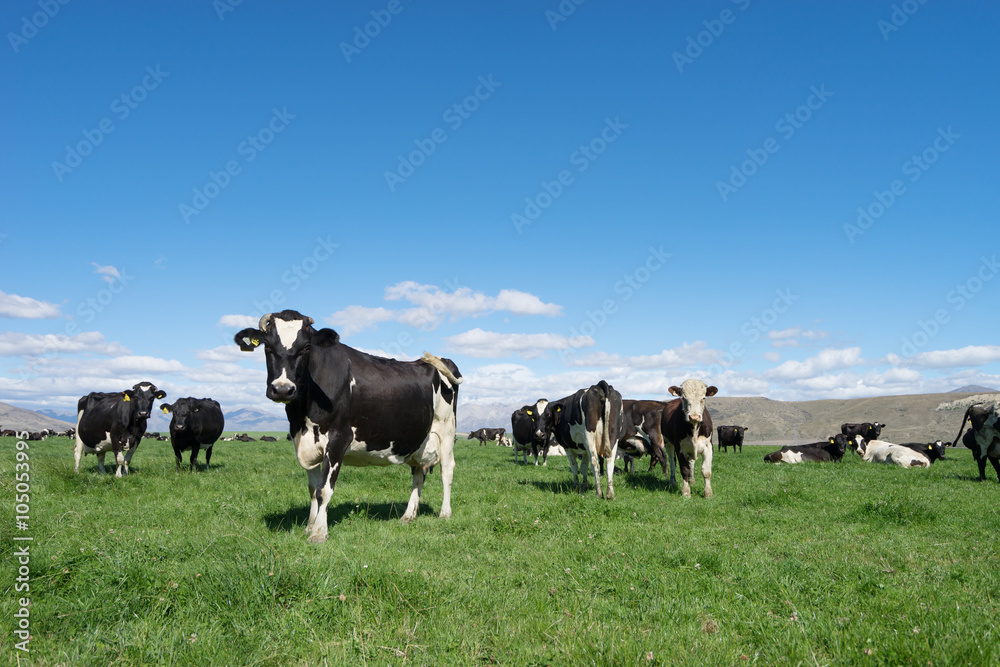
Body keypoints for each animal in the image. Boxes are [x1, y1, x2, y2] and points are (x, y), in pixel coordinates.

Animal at [233, 310, 460, 544]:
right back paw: (408, 516)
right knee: (418, 473)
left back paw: (445, 513)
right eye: (268, 347)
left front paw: (318, 533)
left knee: (446, 470)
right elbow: (313, 489)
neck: (302, 416)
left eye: (306, 347)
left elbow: (324, 490)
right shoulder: (304, 442)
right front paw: (309, 526)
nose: (282, 389)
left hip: (446, 430)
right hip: (418, 439)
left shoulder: (338, 439)